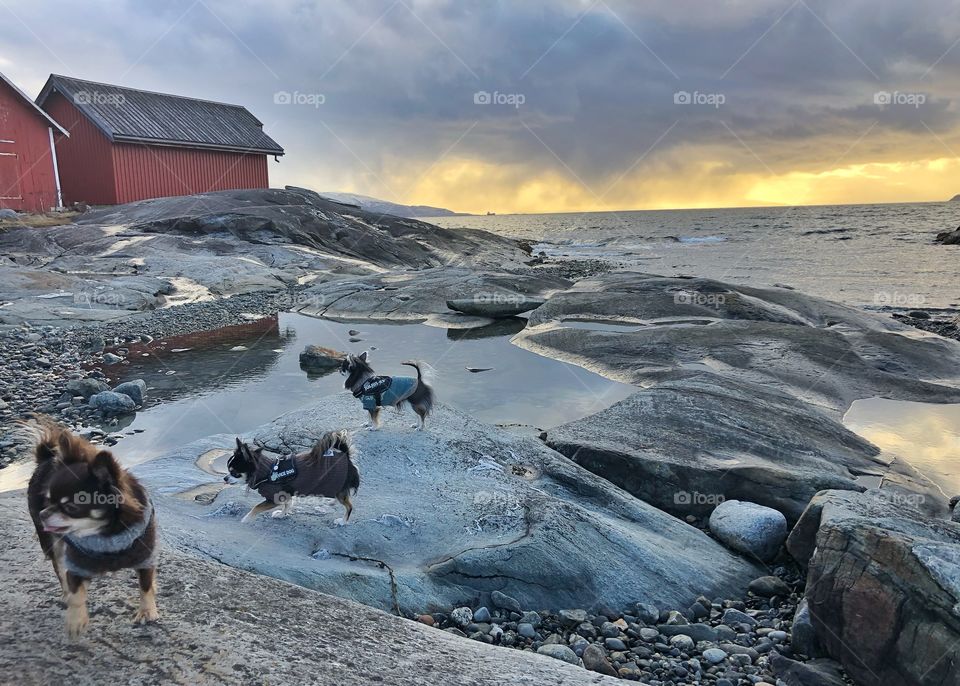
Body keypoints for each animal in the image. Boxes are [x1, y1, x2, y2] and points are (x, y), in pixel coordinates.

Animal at [26, 424, 159, 640]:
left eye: (70, 507)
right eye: (48, 500)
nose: (43, 514)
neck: (106, 535)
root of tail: (45, 457)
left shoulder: (145, 557)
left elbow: (145, 585)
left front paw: (147, 611)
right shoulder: (75, 564)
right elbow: (76, 591)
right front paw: (75, 619)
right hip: (52, 544)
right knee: (60, 570)